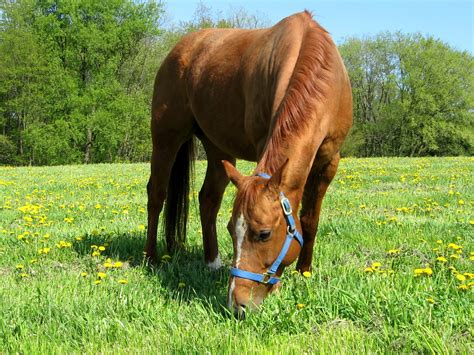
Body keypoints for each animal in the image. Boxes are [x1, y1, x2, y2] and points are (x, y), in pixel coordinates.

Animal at [144, 11, 352, 318]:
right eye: (232, 229)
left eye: (264, 234)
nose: (237, 304)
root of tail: (180, 49)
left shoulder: (329, 161)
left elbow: (309, 220)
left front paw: (304, 272)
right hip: (166, 138)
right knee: (156, 195)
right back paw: (150, 258)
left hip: (217, 149)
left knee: (208, 199)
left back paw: (212, 262)